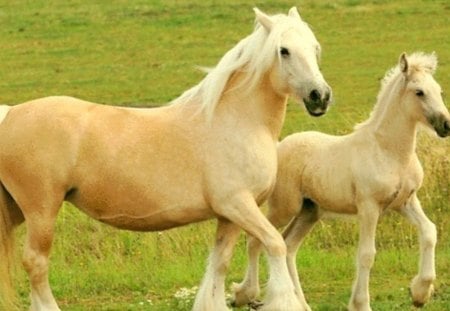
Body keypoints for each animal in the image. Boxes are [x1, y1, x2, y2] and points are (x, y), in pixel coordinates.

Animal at [0, 7, 330, 311]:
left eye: (315, 47)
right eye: (283, 51)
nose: (321, 96)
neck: (236, 120)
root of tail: (11, 114)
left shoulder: (229, 215)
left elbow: (219, 264)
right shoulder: (238, 204)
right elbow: (274, 244)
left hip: (18, 211)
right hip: (42, 210)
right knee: (36, 263)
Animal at [234, 52, 450, 310]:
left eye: (438, 90)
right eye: (419, 92)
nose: (446, 125)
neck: (388, 151)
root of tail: (279, 145)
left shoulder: (406, 202)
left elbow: (429, 231)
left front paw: (420, 293)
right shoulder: (369, 207)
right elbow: (366, 254)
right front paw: (361, 304)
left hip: (309, 212)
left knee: (289, 246)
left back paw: (301, 304)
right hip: (285, 208)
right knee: (256, 240)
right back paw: (245, 294)